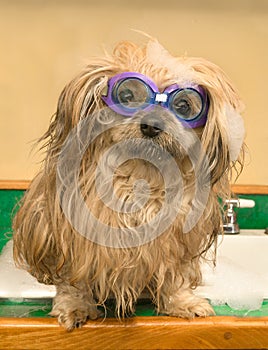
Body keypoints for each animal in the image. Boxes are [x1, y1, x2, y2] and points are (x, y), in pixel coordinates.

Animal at [12, 39, 245, 330]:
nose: (151, 126)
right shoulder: (69, 236)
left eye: (183, 106)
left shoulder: (176, 240)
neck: (140, 178)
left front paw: (183, 302)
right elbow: (72, 281)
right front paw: (75, 307)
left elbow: (175, 277)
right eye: (126, 96)